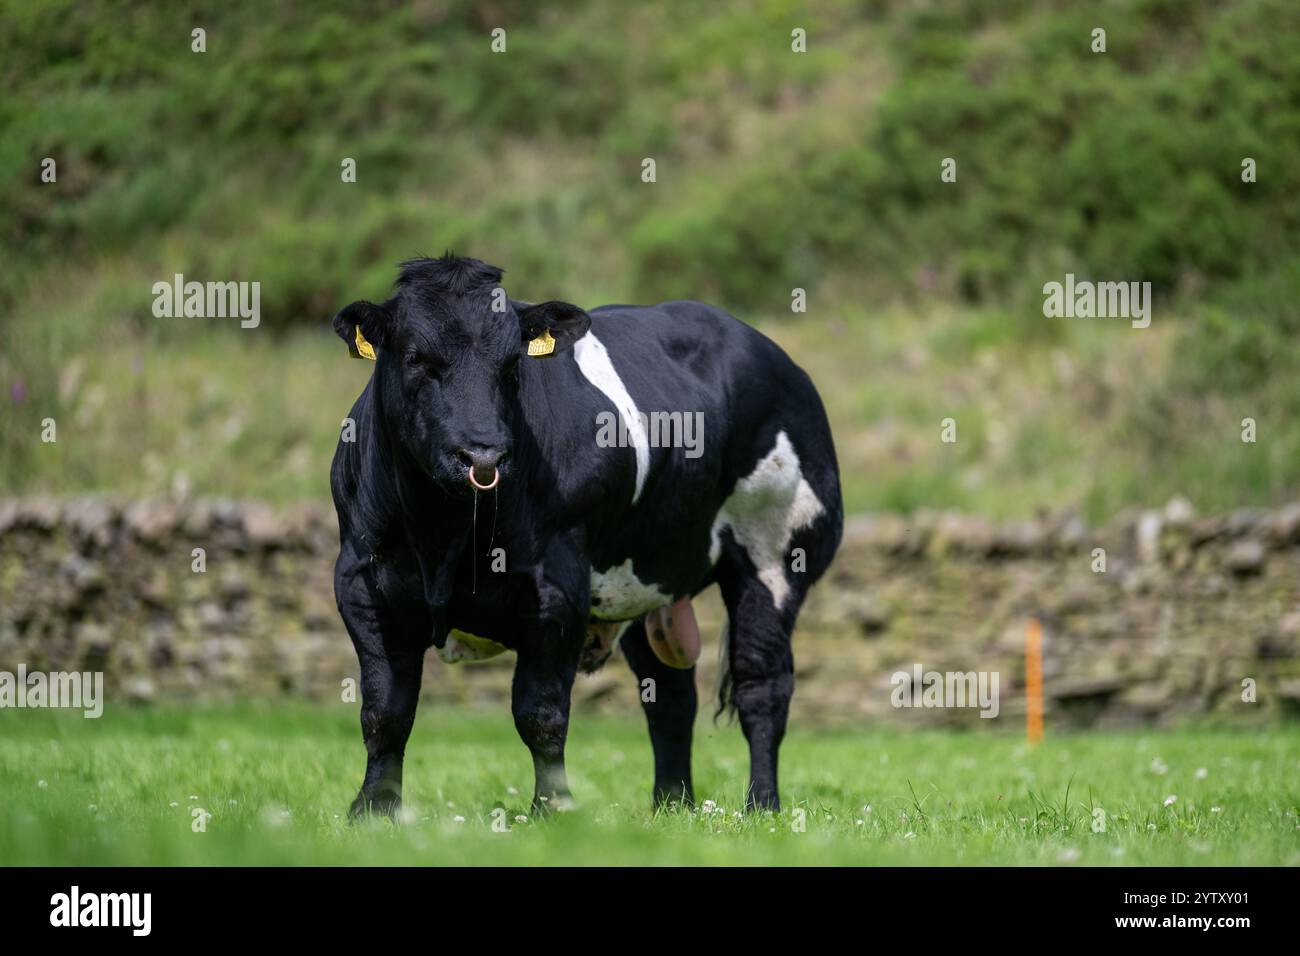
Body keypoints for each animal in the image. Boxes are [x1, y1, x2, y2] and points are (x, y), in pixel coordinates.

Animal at [330, 254, 842, 816]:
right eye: (416, 358)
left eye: (512, 367)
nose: (482, 454)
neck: (444, 535)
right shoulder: (361, 583)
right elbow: (385, 711)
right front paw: (374, 809)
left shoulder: (558, 587)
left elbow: (540, 712)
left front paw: (554, 807)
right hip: (645, 579)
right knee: (670, 695)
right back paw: (672, 805)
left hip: (776, 553)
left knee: (761, 686)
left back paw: (762, 805)